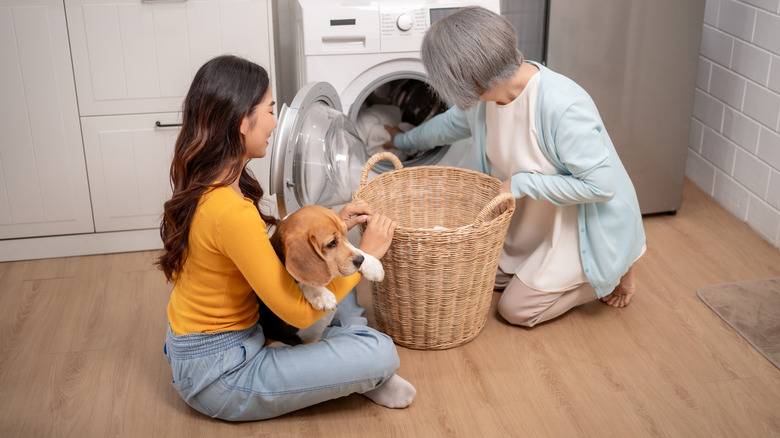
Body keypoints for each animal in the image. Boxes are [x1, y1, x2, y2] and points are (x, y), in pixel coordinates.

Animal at [258, 205, 384, 346]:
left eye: (345, 233)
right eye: (331, 243)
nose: (360, 260)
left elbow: (356, 249)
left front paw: (372, 264)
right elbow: (303, 282)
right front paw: (321, 295)